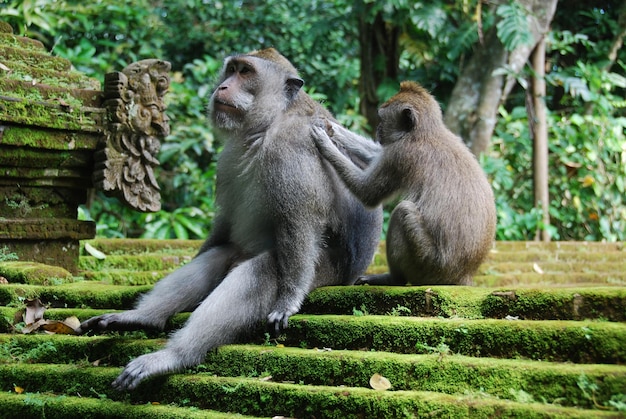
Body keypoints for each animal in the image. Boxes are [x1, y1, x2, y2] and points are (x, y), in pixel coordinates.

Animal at [78, 48, 380, 390]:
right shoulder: (228, 157)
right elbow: (225, 223)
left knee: (261, 270)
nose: (222, 87)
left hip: (330, 270)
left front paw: (288, 301)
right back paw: (141, 319)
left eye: (246, 72)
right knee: (220, 256)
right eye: (231, 69)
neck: (267, 124)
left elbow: (299, 224)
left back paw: (175, 356)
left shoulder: (290, 147)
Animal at [310, 80, 492, 288]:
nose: (378, 129)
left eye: (382, 118)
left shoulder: (401, 155)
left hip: (427, 265)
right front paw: (332, 127)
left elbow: (368, 193)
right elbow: (376, 155)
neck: (424, 132)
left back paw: (393, 278)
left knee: (402, 212)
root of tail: (463, 276)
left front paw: (325, 144)